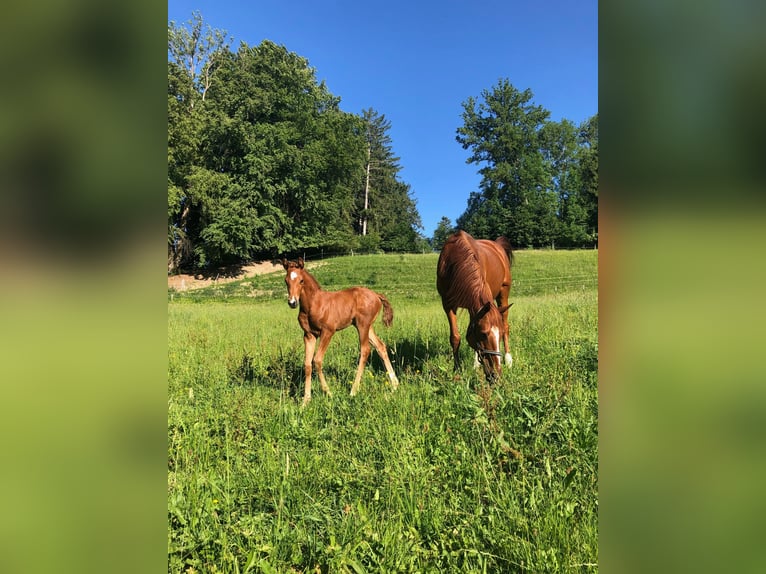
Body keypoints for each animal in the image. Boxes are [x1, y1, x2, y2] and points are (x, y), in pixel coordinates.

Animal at [281, 258, 399, 406]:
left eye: (301, 280)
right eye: (286, 280)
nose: (292, 302)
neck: (314, 304)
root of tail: (376, 295)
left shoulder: (328, 332)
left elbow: (317, 360)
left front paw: (329, 393)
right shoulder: (309, 335)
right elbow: (307, 365)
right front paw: (305, 401)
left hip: (362, 325)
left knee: (365, 350)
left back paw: (353, 391)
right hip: (368, 327)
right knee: (380, 346)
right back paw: (394, 385)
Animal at [436, 230, 513, 380]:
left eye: (500, 335)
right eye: (483, 334)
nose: (496, 374)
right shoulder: (448, 304)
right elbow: (455, 337)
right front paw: (457, 369)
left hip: (504, 292)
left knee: (506, 324)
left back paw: (508, 359)